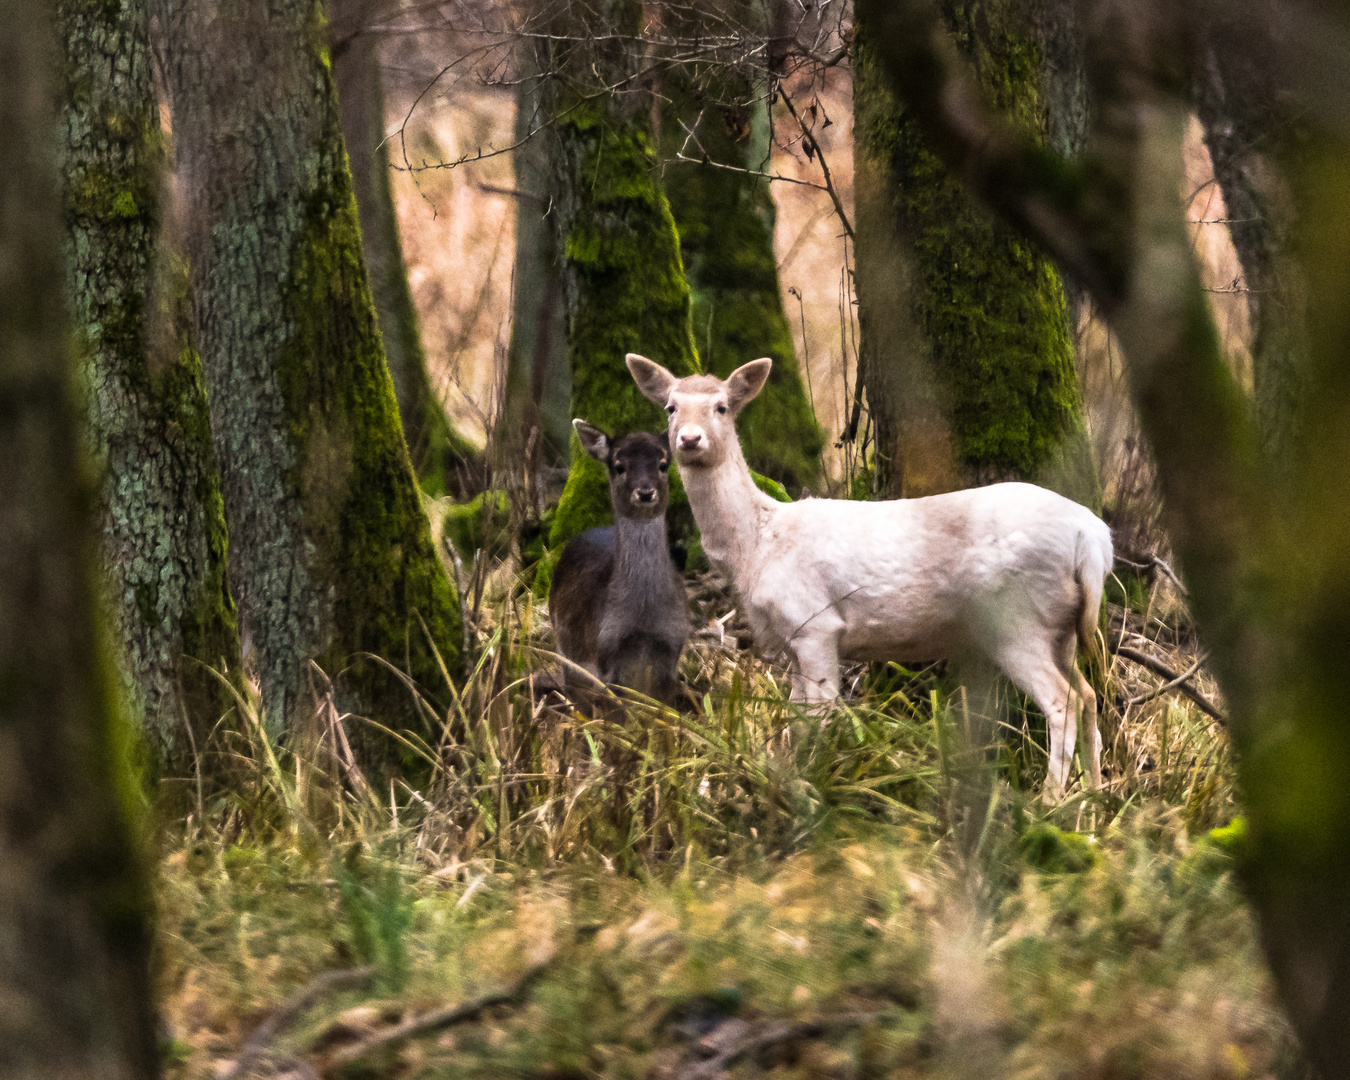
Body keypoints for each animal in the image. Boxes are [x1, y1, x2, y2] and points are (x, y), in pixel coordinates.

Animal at [548, 421, 691, 707]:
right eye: (619, 466)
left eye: (663, 464)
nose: (645, 492)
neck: (643, 619)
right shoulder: (605, 655)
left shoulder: (673, 648)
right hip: (566, 649)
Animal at [626, 353, 1112, 793]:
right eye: (670, 406)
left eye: (722, 406)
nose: (689, 439)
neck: (757, 548)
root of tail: (1092, 537)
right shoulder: (791, 639)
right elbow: (797, 716)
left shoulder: (815, 624)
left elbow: (817, 717)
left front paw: (811, 786)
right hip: (1061, 624)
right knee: (1088, 695)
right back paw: (1092, 796)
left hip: (1018, 618)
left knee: (1063, 700)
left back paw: (1050, 800)